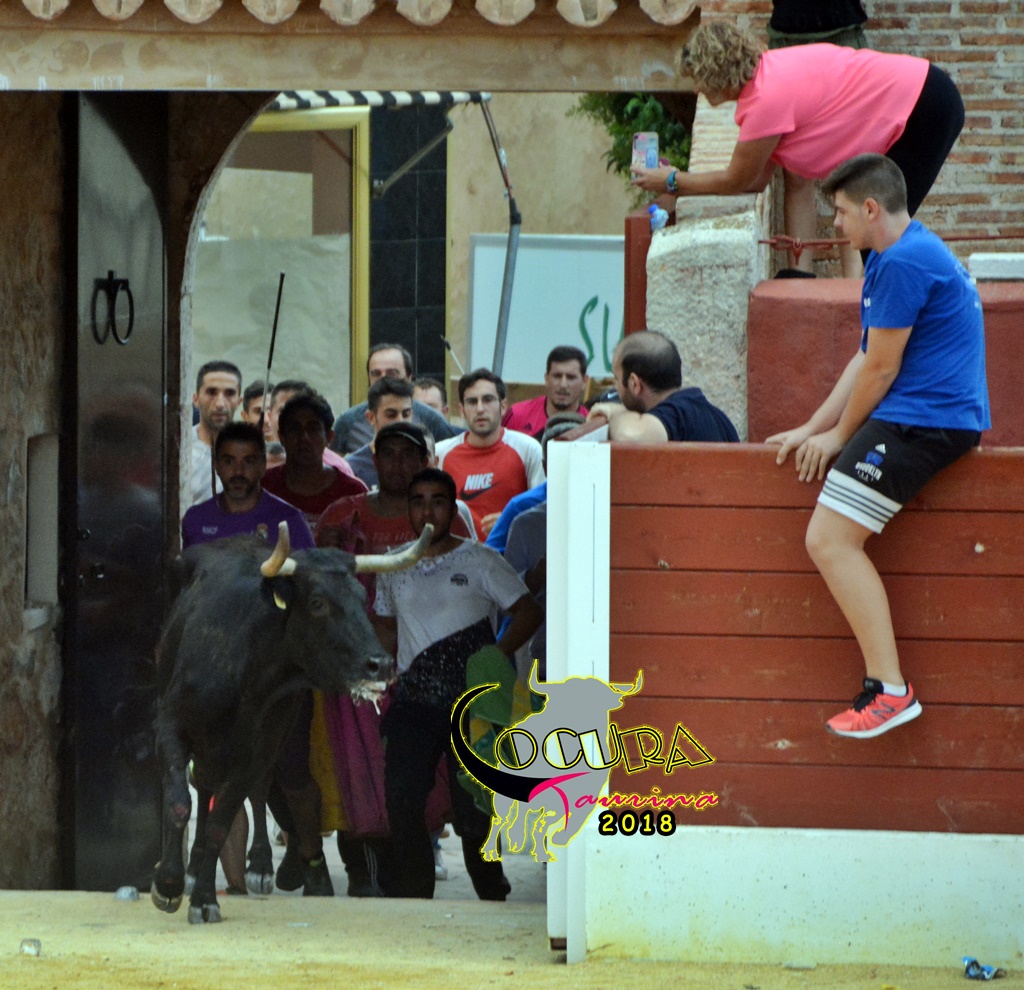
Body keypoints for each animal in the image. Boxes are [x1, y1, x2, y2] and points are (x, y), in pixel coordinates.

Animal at [151, 520, 430, 924]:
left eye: (361, 597)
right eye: (317, 602)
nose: (379, 664)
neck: (244, 668)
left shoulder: (254, 752)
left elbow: (222, 820)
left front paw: (204, 899)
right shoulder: (170, 726)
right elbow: (178, 803)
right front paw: (168, 882)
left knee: (250, 790)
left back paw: (258, 865)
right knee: (202, 787)